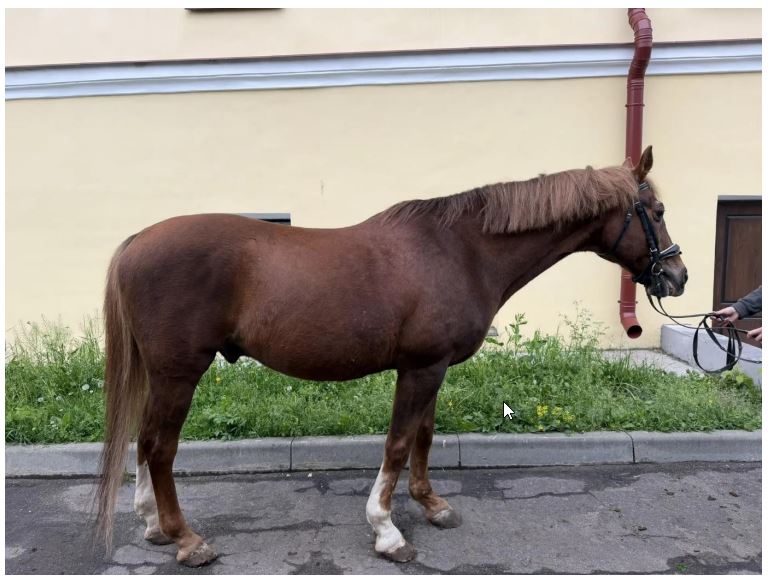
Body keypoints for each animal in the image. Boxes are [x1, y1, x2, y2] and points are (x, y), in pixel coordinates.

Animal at [95, 145, 687, 566]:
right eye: (656, 210)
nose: (677, 276)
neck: (461, 251)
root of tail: (137, 242)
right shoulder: (421, 368)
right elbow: (399, 444)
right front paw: (387, 531)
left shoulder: (430, 366)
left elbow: (423, 436)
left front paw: (432, 505)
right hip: (179, 372)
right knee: (159, 447)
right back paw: (186, 539)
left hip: (160, 373)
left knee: (145, 444)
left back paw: (153, 525)